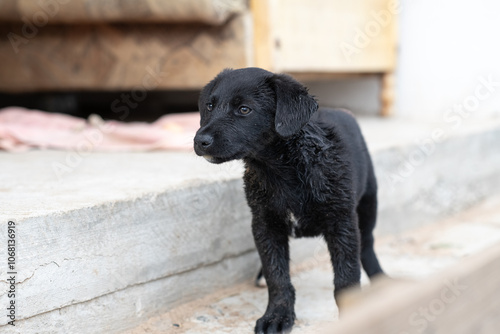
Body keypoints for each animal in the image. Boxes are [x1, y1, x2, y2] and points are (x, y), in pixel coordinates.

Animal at [193, 68, 384, 334]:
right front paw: (277, 315)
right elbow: (276, 274)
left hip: (368, 203)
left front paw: (354, 317)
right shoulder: (265, 224)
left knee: (367, 245)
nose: (200, 141)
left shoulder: (342, 222)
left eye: (244, 109)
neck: (283, 169)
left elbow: (346, 276)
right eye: (210, 106)